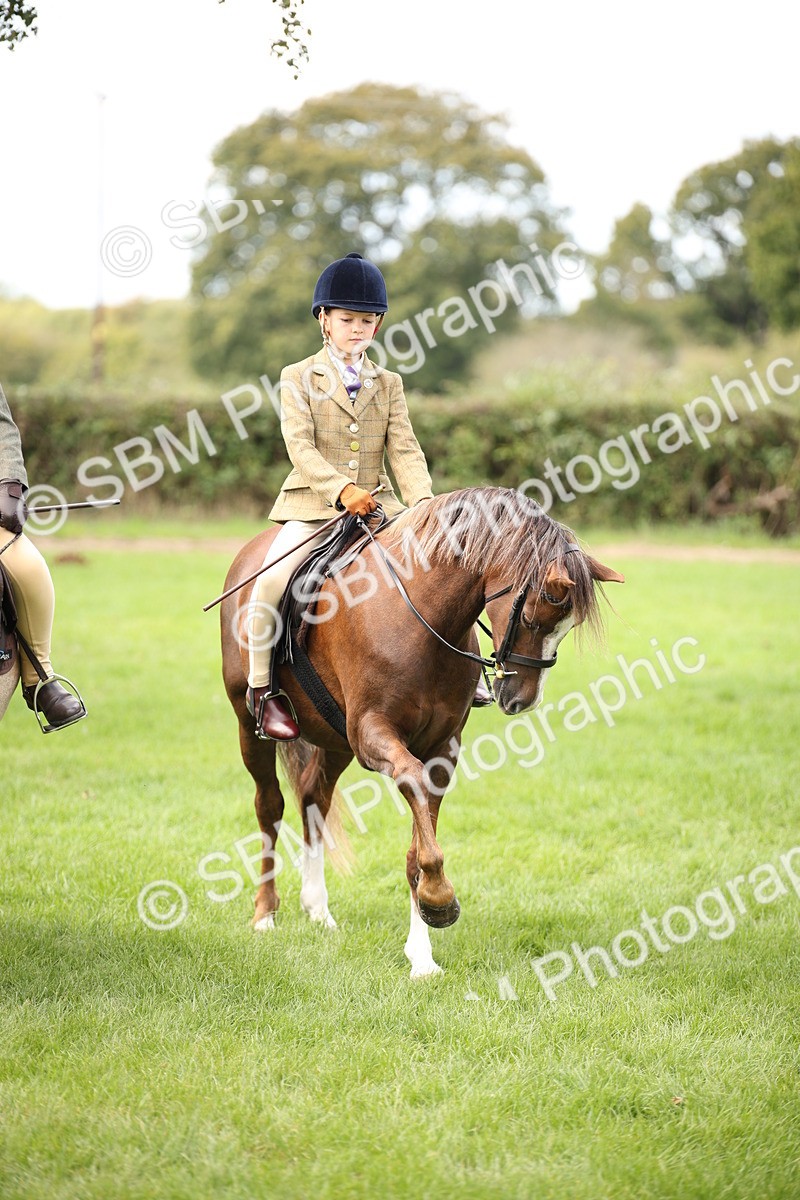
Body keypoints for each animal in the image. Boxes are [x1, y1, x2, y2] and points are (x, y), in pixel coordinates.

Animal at [220, 486, 624, 977]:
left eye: (567, 626)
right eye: (532, 615)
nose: (521, 699)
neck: (421, 615)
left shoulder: (441, 749)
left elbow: (418, 846)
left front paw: (422, 950)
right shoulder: (374, 735)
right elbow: (412, 792)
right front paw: (441, 903)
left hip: (335, 740)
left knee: (314, 797)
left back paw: (318, 908)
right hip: (250, 726)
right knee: (270, 806)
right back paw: (264, 913)